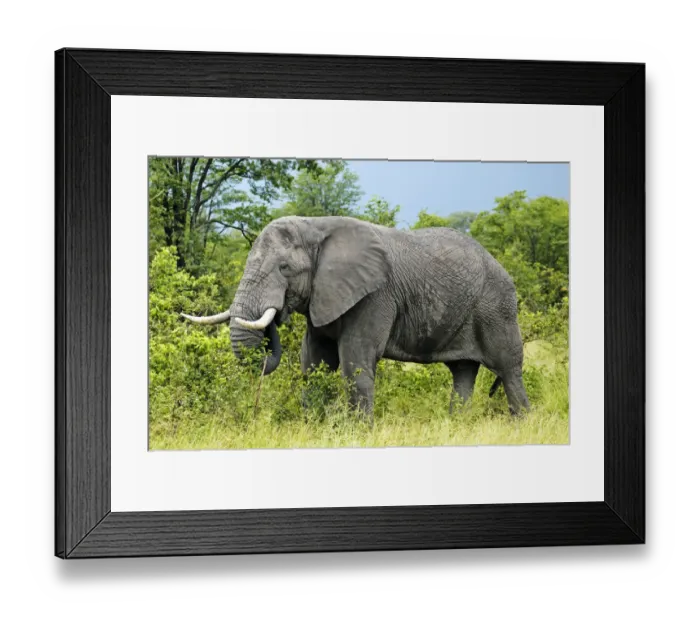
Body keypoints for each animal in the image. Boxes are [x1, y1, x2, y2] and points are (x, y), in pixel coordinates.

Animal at [181, 215, 530, 420]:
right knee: (463, 372)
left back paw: (522, 424)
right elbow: (314, 360)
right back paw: (455, 425)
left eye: (285, 268)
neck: (315, 226)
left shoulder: (374, 295)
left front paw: (358, 433)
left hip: (496, 306)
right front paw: (313, 427)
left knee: (508, 368)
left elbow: (355, 360)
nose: (278, 313)